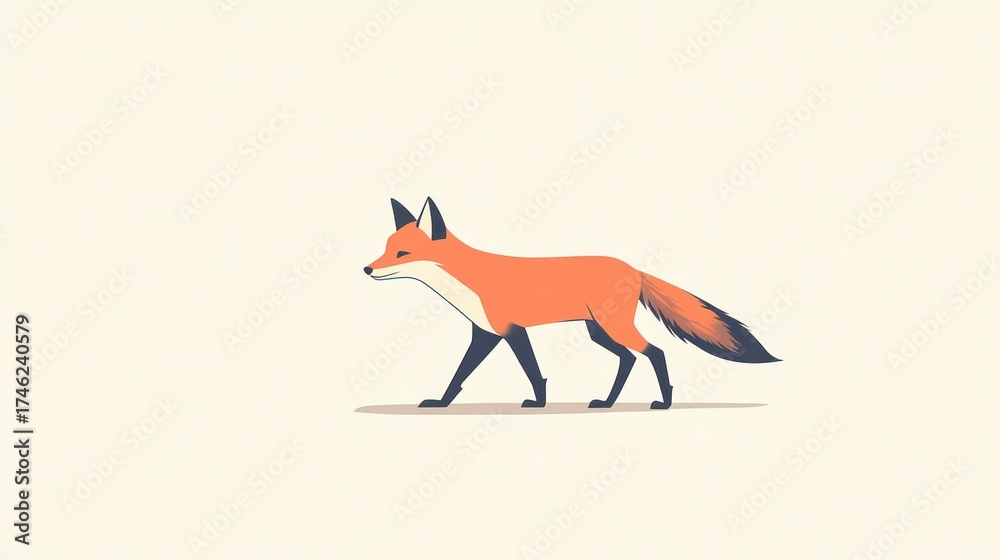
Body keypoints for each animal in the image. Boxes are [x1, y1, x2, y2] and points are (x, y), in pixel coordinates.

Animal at [365, 197, 779, 410]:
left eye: (402, 253)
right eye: (386, 248)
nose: (367, 269)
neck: (467, 281)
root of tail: (634, 269)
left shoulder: (510, 331)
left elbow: (533, 372)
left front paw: (539, 403)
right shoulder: (484, 334)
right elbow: (459, 375)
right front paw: (441, 402)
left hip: (612, 328)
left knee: (654, 352)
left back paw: (663, 403)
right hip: (598, 332)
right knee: (629, 359)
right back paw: (608, 402)